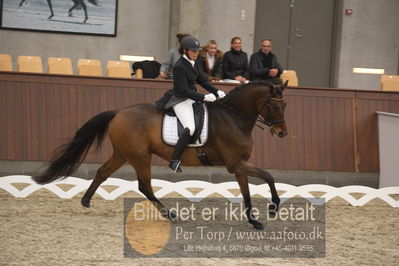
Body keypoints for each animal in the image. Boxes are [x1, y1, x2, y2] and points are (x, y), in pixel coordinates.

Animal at [32, 80, 290, 230]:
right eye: (274, 106)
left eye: (285, 105)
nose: (282, 133)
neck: (234, 117)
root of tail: (118, 112)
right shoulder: (235, 164)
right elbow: (268, 176)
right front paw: (273, 207)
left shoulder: (239, 164)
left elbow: (248, 192)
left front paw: (255, 220)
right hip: (140, 156)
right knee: (144, 185)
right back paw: (171, 215)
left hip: (123, 154)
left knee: (103, 172)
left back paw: (86, 201)